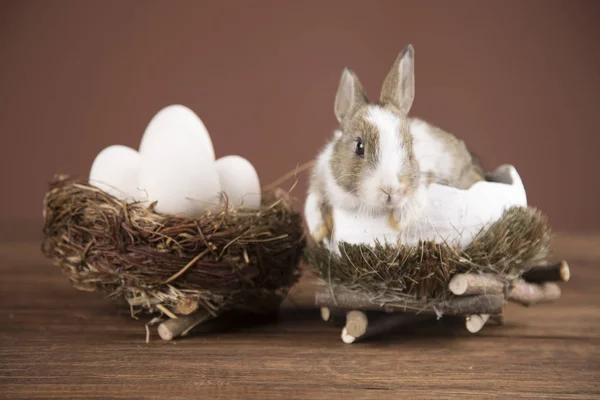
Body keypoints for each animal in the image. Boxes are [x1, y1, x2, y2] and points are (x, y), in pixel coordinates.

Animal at [308, 43, 486, 244]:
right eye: (359, 147)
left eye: (410, 145)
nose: (390, 190)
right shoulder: (321, 172)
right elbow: (312, 201)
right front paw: (318, 231)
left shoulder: (426, 174)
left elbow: (418, 195)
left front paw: (398, 221)